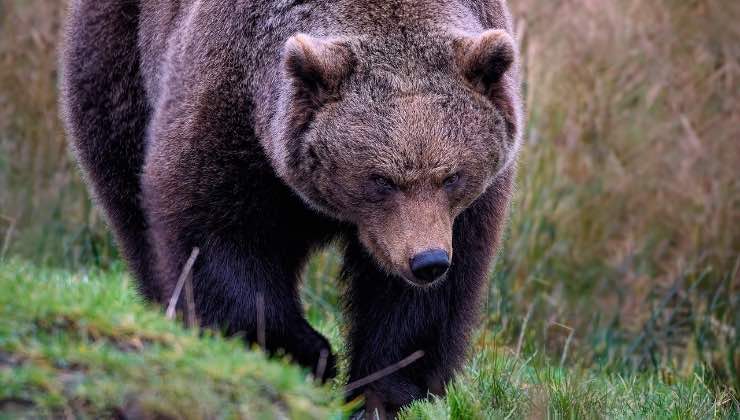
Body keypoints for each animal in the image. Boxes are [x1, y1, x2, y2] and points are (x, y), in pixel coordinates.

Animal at [59, 0, 520, 416]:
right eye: (381, 180)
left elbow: (424, 301)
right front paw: (305, 352)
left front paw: (386, 392)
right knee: (128, 194)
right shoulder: (229, 109)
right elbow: (215, 237)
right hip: (119, 59)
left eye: (452, 175)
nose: (427, 261)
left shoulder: (461, 213)